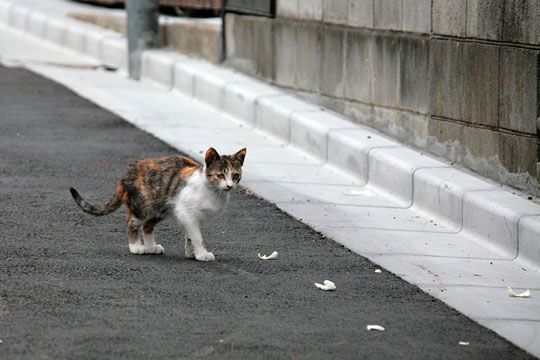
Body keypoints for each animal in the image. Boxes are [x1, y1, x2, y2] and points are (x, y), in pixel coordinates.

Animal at [70, 146, 247, 262]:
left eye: (236, 175)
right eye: (220, 175)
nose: (229, 186)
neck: (212, 190)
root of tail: (126, 173)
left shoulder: (190, 217)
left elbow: (190, 234)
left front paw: (191, 252)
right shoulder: (185, 211)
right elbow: (196, 235)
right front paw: (202, 253)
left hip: (160, 207)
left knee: (147, 225)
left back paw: (151, 247)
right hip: (144, 204)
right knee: (133, 221)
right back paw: (136, 246)